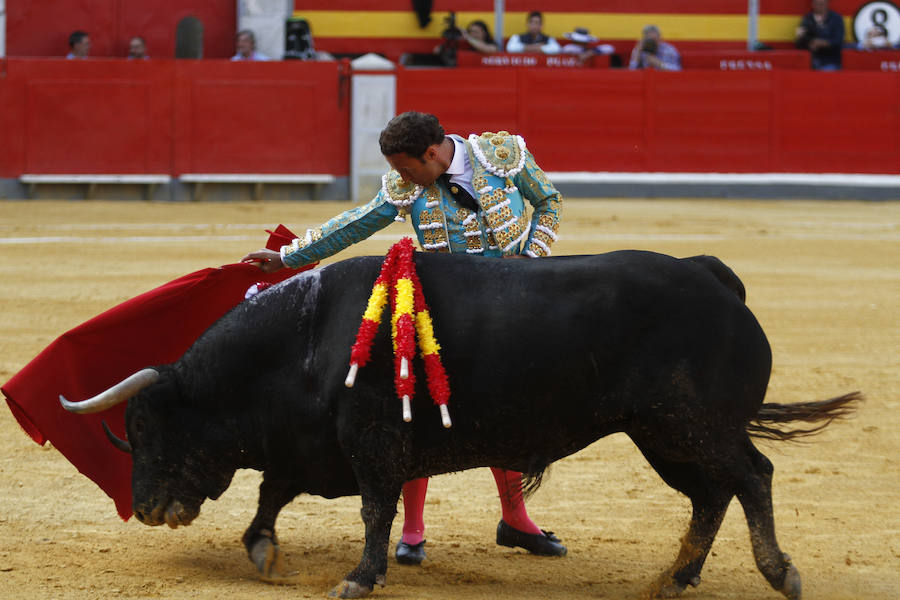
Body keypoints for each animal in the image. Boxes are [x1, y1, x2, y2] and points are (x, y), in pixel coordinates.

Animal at [59, 250, 860, 600]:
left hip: (691, 423)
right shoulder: (311, 445)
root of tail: (714, 275)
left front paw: (359, 578)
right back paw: (675, 577)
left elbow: (374, 509)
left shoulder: (371, 443)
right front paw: (262, 549)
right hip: (659, 433)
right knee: (712, 493)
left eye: (151, 427)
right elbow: (272, 494)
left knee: (751, 476)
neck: (307, 336)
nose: (147, 509)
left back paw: (778, 573)